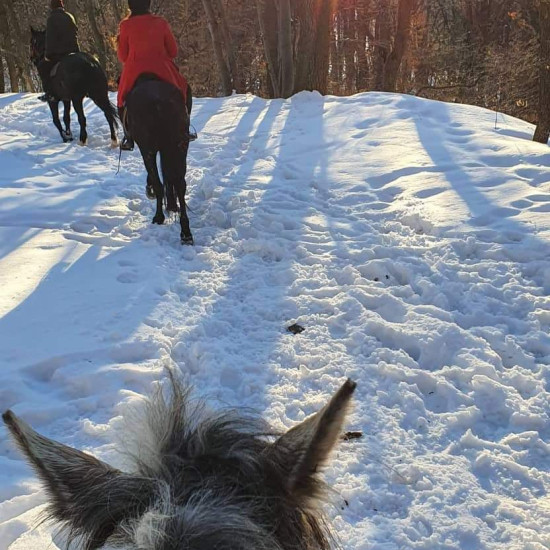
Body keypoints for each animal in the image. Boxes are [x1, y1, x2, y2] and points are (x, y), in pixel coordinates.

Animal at [125, 75, 194, 246]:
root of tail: (157, 102)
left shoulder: (147, 149)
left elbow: (156, 179)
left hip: (148, 148)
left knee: (159, 183)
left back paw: (158, 216)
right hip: (180, 146)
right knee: (180, 184)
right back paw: (186, 232)